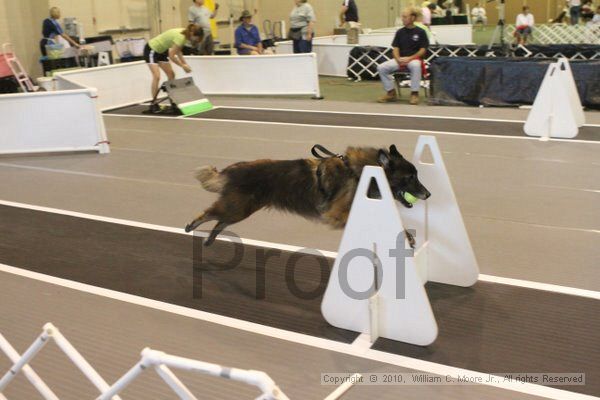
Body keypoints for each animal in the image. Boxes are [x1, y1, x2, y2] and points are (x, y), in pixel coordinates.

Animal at [185, 146, 428, 245]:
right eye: (410, 177)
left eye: (416, 175)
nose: (428, 194)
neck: (361, 172)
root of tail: (232, 169)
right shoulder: (338, 214)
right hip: (239, 208)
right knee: (211, 214)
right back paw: (191, 226)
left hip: (241, 209)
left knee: (220, 221)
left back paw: (209, 239)